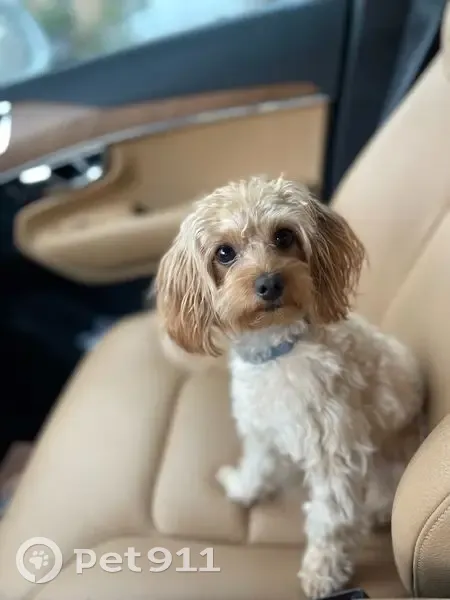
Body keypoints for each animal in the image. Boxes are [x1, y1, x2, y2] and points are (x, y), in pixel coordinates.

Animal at [154, 175, 424, 598]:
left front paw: (322, 573)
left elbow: (330, 520)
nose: (269, 282)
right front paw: (243, 488)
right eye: (224, 252)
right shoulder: (259, 427)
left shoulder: (336, 451)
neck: (278, 351)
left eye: (283, 236)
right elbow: (258, 464)